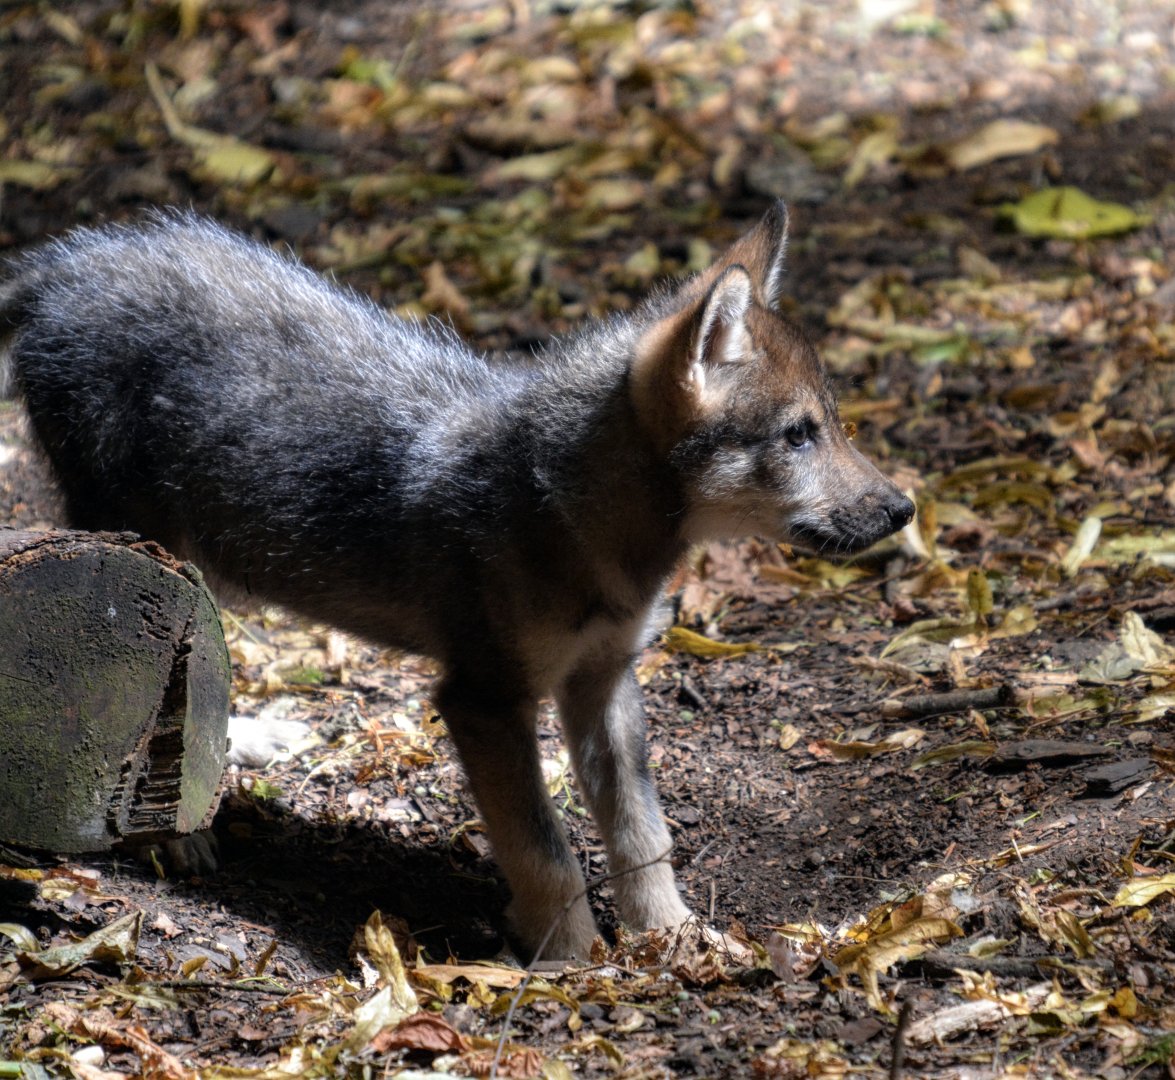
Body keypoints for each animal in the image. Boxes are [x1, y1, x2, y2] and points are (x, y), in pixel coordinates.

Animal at [0, 203, 913, 959]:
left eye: (832, 425)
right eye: (798, 435)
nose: (902, 508)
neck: (564, 509)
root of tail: (66, 262)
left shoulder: (603, 680)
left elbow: (641, 832)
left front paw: (673, 937)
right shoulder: (482, 701)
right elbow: (545, 853)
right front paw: (574, 965)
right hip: (149, 560)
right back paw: (172, 833)